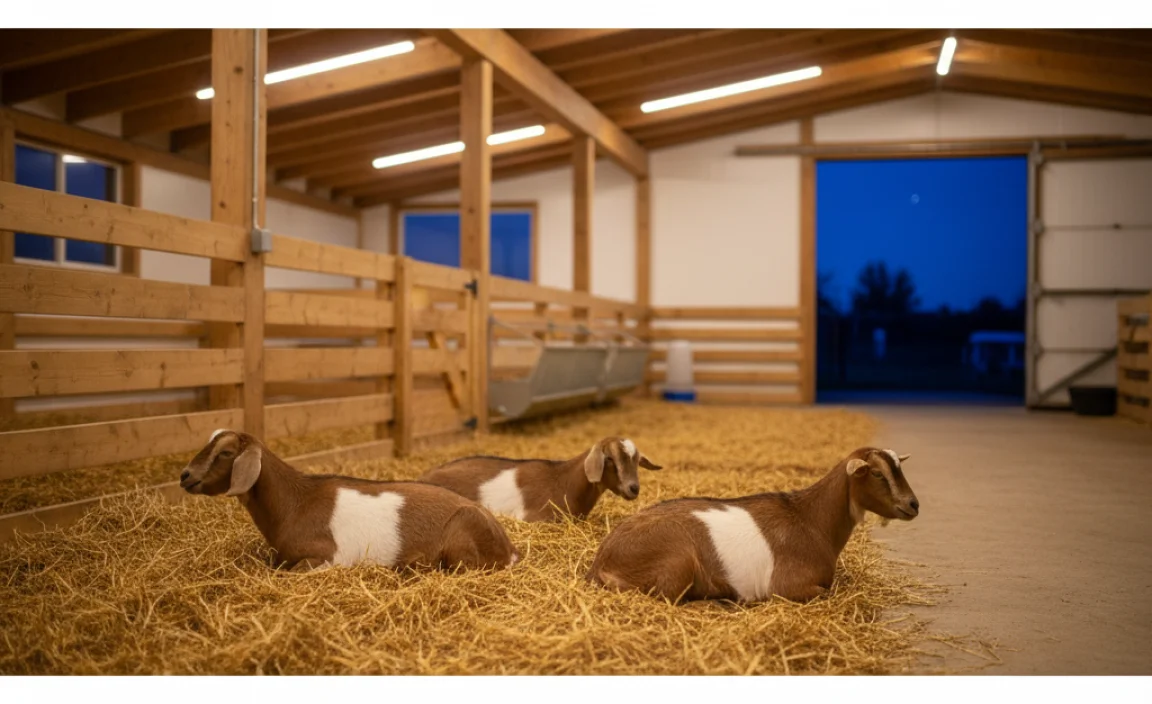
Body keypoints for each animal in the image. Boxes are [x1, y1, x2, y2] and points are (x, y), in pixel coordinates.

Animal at [585, 447, 919, 603]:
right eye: (877, 473)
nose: (913, 504)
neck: (812, 520)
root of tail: (600, 561)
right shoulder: (788, 586)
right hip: (677, 562)